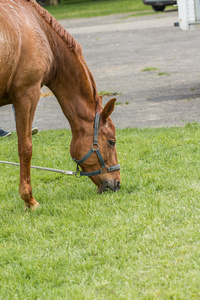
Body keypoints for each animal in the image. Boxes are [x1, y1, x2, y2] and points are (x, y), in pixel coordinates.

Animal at [0, 0, 120, 209]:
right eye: (111, 142)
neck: (42, 31)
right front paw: (29, 200)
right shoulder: (27, 94)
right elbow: (25, 148)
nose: (118, 183)